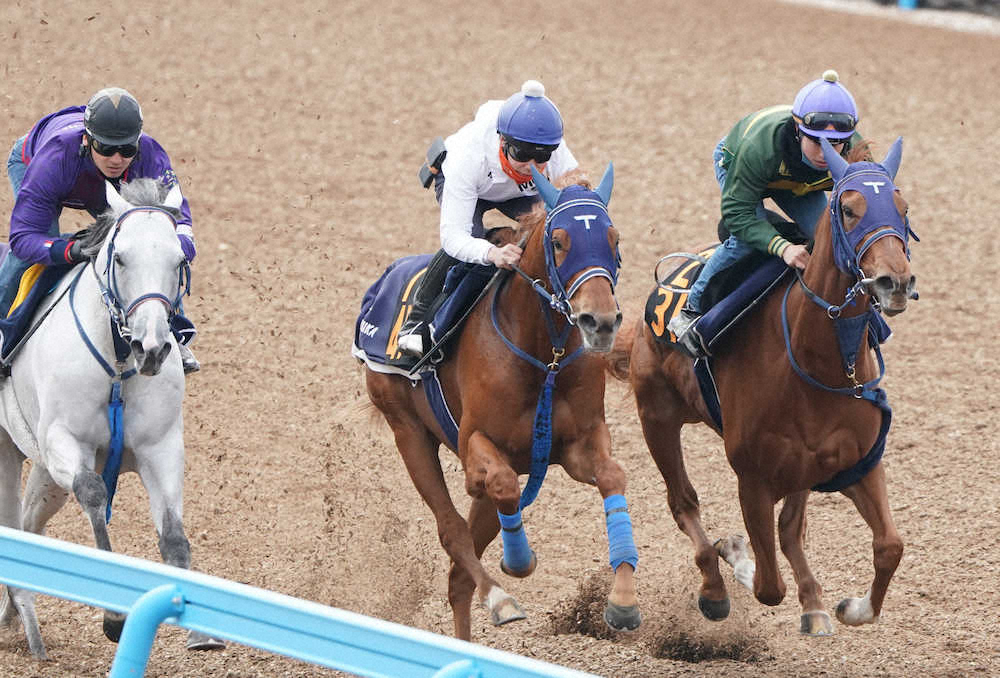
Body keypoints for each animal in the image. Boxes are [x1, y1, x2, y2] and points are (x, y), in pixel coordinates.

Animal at [0, 179, 221, 660]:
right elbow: (94, 495)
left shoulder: (161, 449)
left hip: (43, 472)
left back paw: (15, 612)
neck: (118, 365)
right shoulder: (64, 442)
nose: (151, 348)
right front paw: (116, 618)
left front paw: (198, 631)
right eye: (120, 258)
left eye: (179, 260)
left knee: (27, 521)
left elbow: (174, 538)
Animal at [360, 165, 640, 644]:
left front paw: (622, 602)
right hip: (407, 431)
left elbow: (611, 476)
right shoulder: (476, 445)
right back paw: (500, 598)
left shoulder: (579, 444)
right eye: (559, 241)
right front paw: (519, 563)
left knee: (459, 575)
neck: (545, 356)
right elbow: (504, 484)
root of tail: (384, 281)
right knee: (453, 533)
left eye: (613, 239)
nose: (600, 322)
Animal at [604, 138, 916, 636]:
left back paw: (813, 604)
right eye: (848, 209)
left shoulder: (856, 463)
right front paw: (735, 551)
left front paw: (848, 607)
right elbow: (770, 586)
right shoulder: (752, 478)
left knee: (790, 528)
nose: (896, 282)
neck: (818, 364)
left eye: (903, 208)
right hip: (657, 417)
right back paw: (714, 588)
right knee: (684, 503)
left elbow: (890, 545)